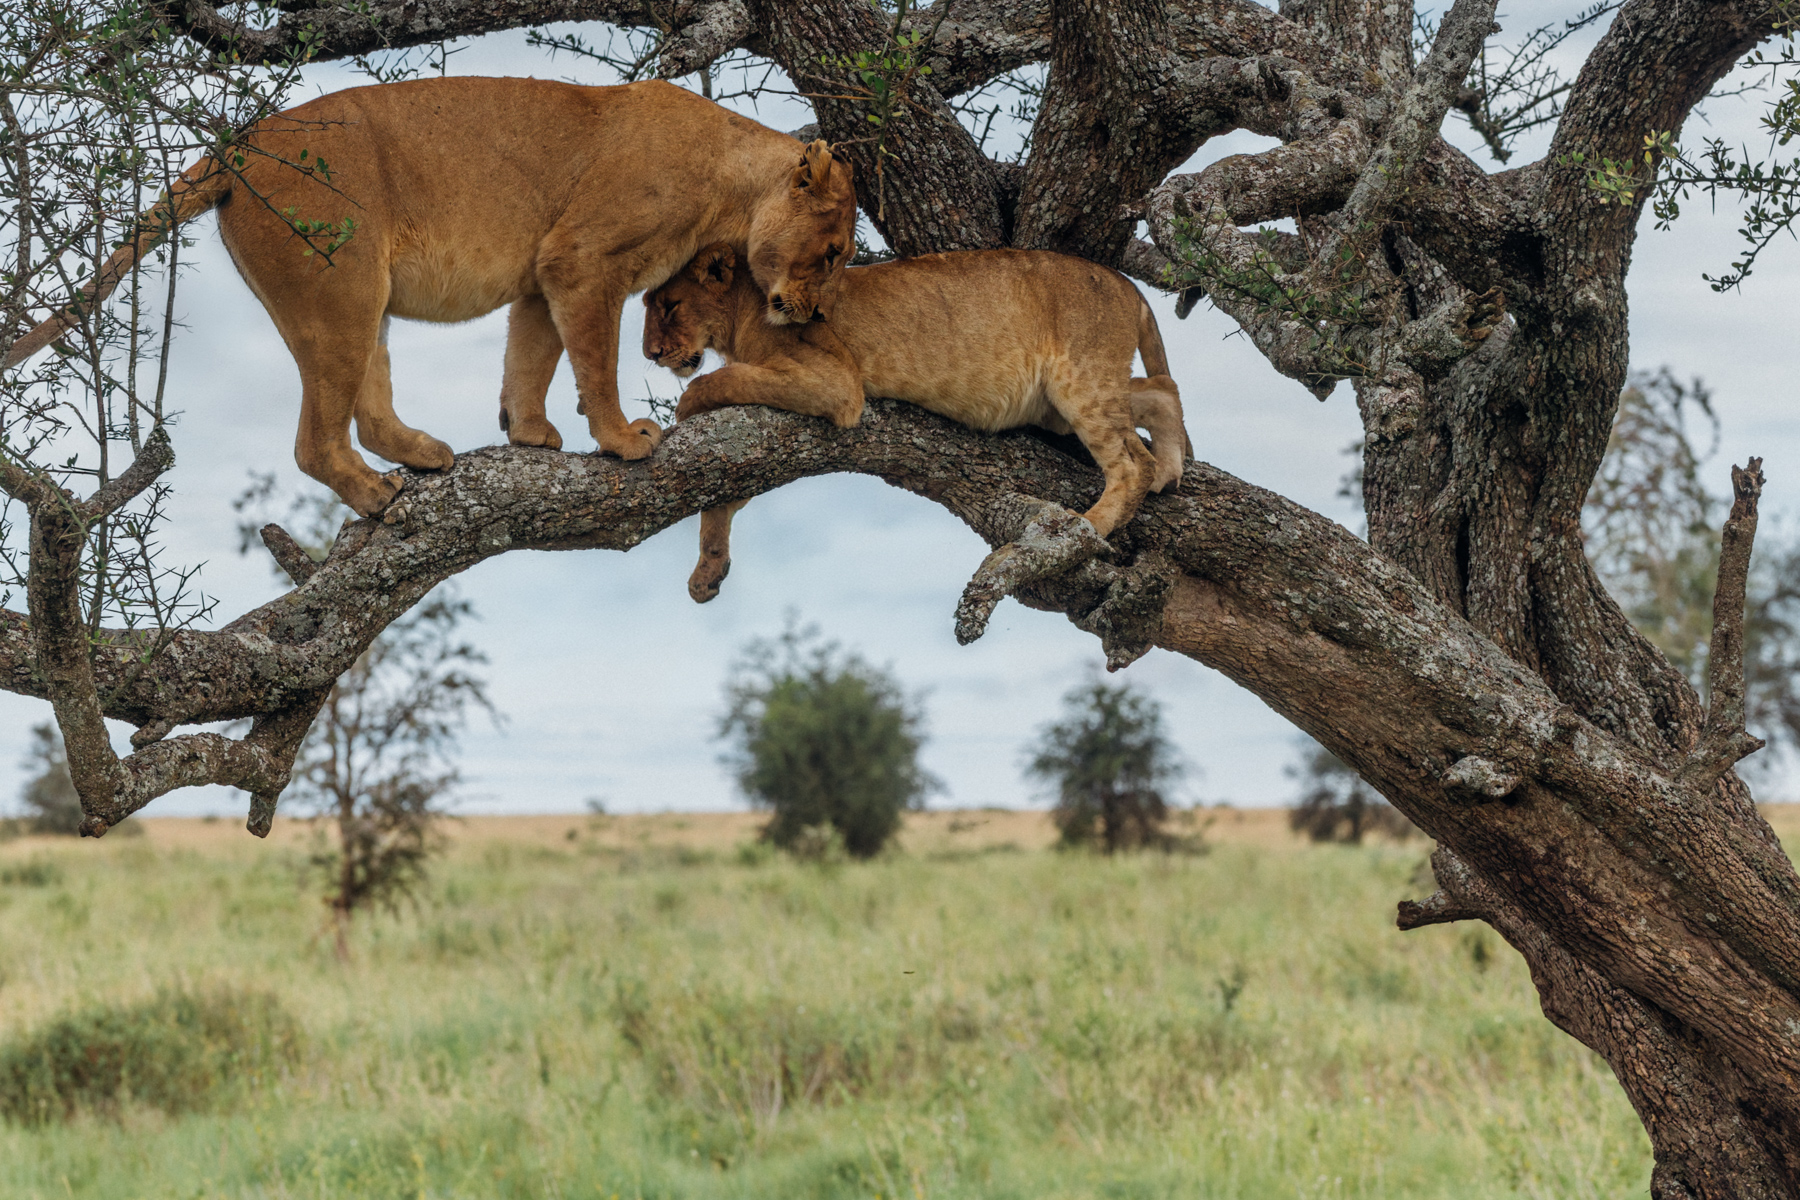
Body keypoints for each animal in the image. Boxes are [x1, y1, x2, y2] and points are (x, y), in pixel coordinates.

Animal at [3, 77, 856, 517]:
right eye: (834, 251)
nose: (810, 312)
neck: (732, 183)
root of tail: (234, 146)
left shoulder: (545, 274)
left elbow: (531, 359)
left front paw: (529, 434)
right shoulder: (583, 262)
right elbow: (596, 363)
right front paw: (621, 439)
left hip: (360, 300)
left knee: (368, 409)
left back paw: (423, 455)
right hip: (341, 286)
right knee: (316, 439)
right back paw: (377, 495)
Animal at [643, 243, 1190, 602]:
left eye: (670, 305)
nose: (650, 353)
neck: (739, 314)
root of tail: (1124, 283)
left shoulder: (835, 382)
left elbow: (716, 380)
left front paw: (684, 407)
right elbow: (723, 498)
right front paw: (708, 572)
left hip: (1078, 378)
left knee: (1130, 462)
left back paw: (1083, 527)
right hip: (1062, 401)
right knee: (1163, 391)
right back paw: (1170, 470)